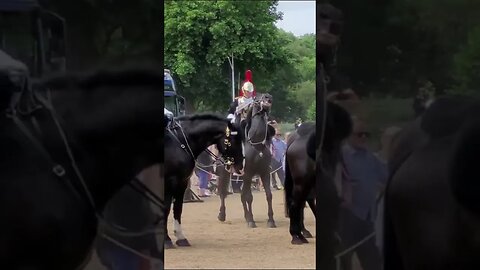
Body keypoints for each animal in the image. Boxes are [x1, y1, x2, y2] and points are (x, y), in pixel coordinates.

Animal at [164, 113, 244, 248]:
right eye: (234, 140)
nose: (240, 166)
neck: (179, 143)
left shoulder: (181, 183)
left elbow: (178, 209)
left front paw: (181, 238)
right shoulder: (169, 183)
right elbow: (165, 209)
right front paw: (166, 240)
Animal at [217, 93, 274, 228]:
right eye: (258, 98)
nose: (268, 97)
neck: (256, 145)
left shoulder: (264, 173)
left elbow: (268, 195)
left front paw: (271, 220)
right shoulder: (248, 173)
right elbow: (248, 197)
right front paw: (251, 220)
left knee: (242, 195)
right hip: (224, 171)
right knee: (223, 193)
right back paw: (222, 215)